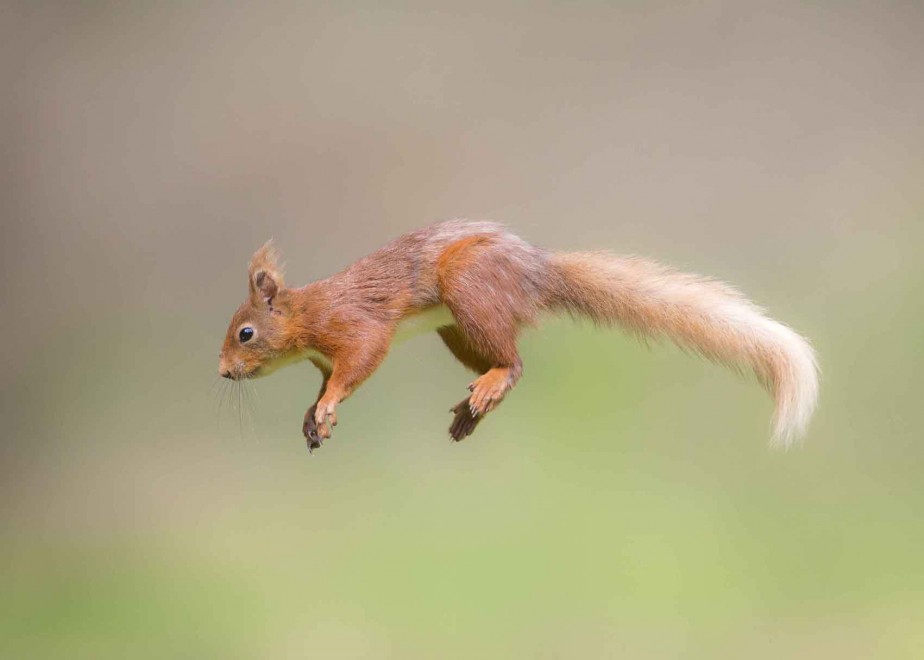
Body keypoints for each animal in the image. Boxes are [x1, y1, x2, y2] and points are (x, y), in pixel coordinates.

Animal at [218, 220, 818, 452]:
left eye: (245, 333)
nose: (222, 371)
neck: (305, 314)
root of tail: (537, 274)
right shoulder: (322, 358)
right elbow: (325, 384)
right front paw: (313, 414)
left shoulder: (352, 326)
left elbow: (359, 363)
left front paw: (327, 406)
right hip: (457, 329)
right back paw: (471, 410)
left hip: (468, 291)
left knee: (515, 363)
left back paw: (487, 388)